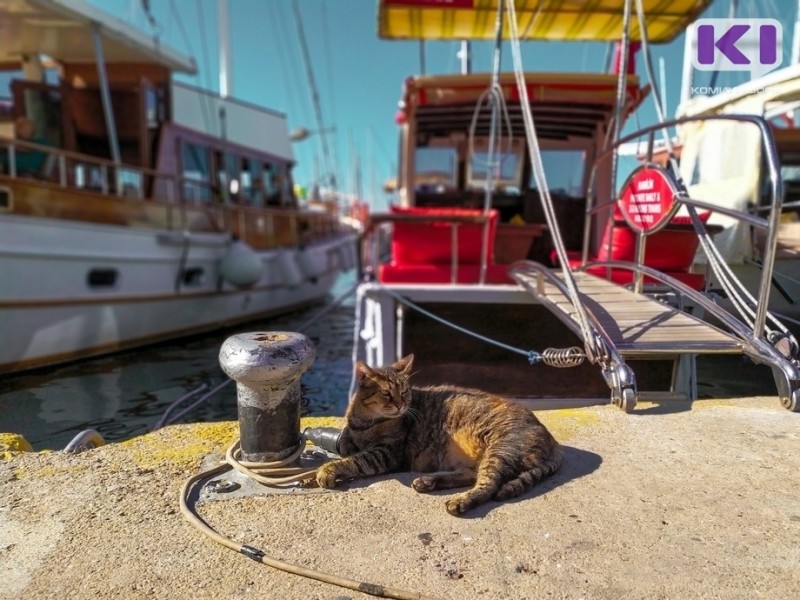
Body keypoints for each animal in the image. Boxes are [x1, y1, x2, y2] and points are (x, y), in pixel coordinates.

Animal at [314, 356, 564, 516]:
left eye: (405, 391)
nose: (401, 404)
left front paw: (329, 469)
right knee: (470, 475)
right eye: (386, 392)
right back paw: (428, 481)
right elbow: (347, 442)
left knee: (487, 486)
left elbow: (356, 459)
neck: (365, 420)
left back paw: (459, 501)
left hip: (500, 451)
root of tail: (553, 440)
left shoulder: (387, 454)